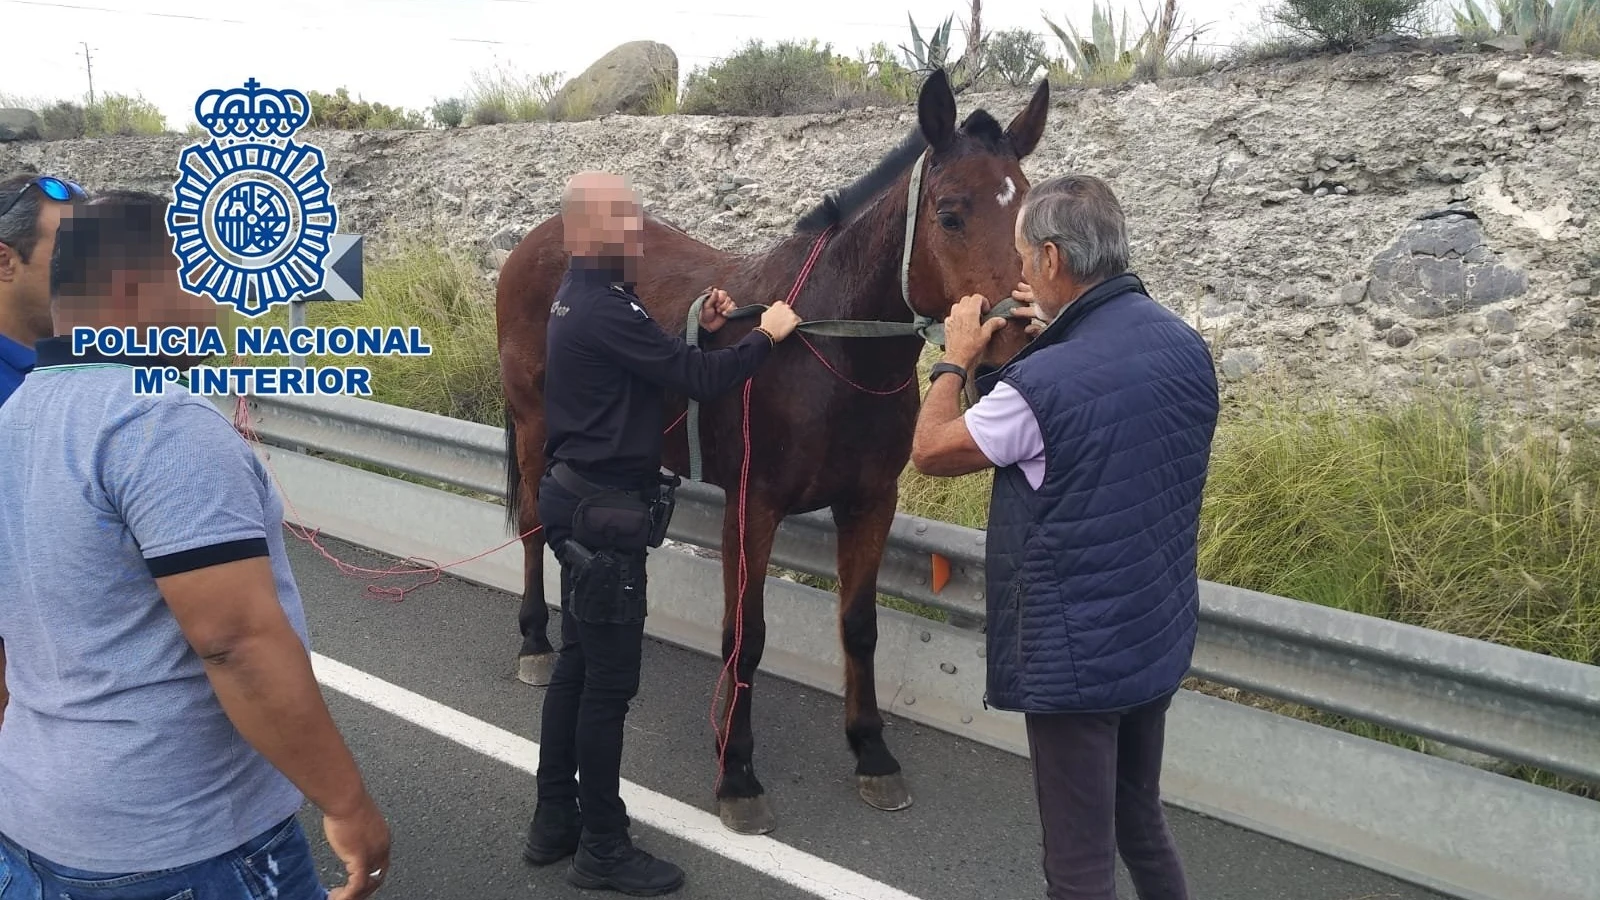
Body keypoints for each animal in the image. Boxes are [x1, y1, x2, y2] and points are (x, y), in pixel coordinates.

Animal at [499, 70, 1049, 832]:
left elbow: (858, 626)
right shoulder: (752, 507)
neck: (826, 346)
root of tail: (538, 242)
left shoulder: (869, 504)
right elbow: (747, 634)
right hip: (531, 424)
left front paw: (871, 751)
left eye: (1025, 210)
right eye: (950, 213)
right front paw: (737, 770)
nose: (1015, 342)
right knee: (530, 525)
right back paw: (533, 639)